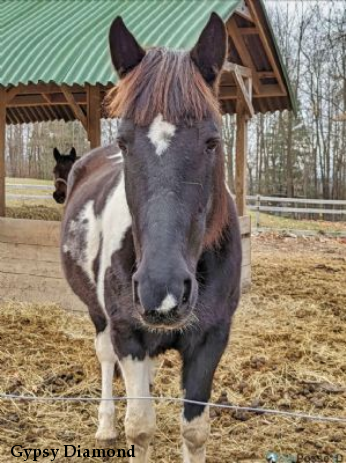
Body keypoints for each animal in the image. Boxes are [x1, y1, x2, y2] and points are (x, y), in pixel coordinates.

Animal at [61, 12, 241, 462]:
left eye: (212, 141)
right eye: (124, 142)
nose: (163, 289)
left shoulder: (210, 340)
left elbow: (193, 432)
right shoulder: (127, 333)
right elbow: (140, 428)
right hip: (100, 318)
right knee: (105, 359)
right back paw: (105, 425)